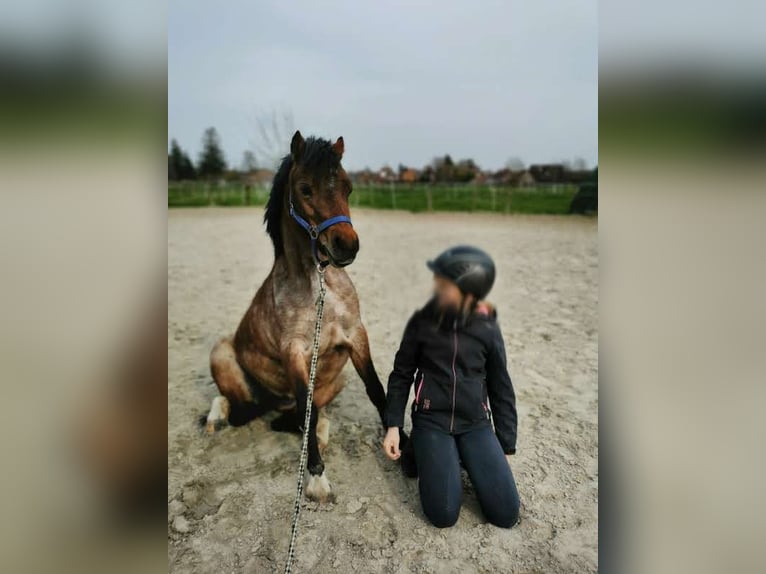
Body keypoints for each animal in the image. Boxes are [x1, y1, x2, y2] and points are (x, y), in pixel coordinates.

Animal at [205, 131, 392, 502]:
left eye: (348, 187)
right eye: (305, 189)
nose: (346, 245)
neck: (319, 289)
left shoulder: (356, 335)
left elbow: (377, 391)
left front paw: (406, 455)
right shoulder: (295, 353)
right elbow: (309, 410)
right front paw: (317, 478)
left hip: (337, 378)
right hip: (221, 354)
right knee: (238, 405)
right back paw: (217, 418)